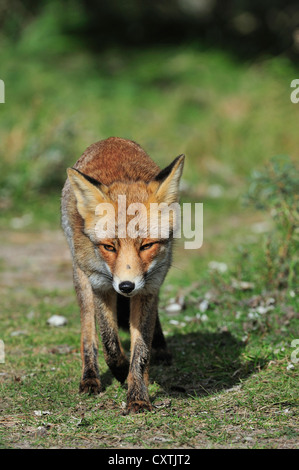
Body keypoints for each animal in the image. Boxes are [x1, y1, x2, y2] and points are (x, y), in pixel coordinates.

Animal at [61, 136, 185, 412]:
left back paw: (161, 348)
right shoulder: (100, 285)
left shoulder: (149, 288)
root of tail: (111, 139)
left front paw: (138, 395)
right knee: (89, 334)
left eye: (146, 246)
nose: (126, 287)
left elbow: (141, 352)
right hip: (81, 280)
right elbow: (109, 345)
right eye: (110, 247)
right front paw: (120, 373)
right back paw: (90, 377)